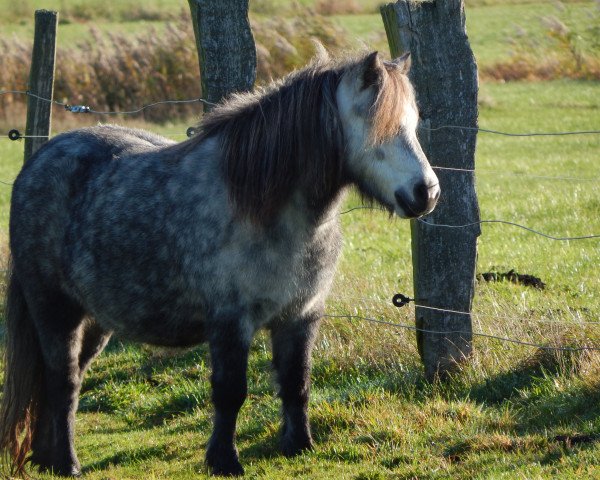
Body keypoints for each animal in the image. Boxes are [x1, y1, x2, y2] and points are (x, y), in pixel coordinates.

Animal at [0, 49, 440, 476]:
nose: (427, 193)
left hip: (95, 321)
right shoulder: (231, 321)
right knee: (63, 381)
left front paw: (299, 446)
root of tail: (36, 163)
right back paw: (67, 463)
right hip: (56, 310)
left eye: (414, 124)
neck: (265, 208)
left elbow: (296, 383)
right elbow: (231, 392)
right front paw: (224, 460)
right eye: (378, 125)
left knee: (63, 379)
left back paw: (46, 457)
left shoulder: (301, 316)